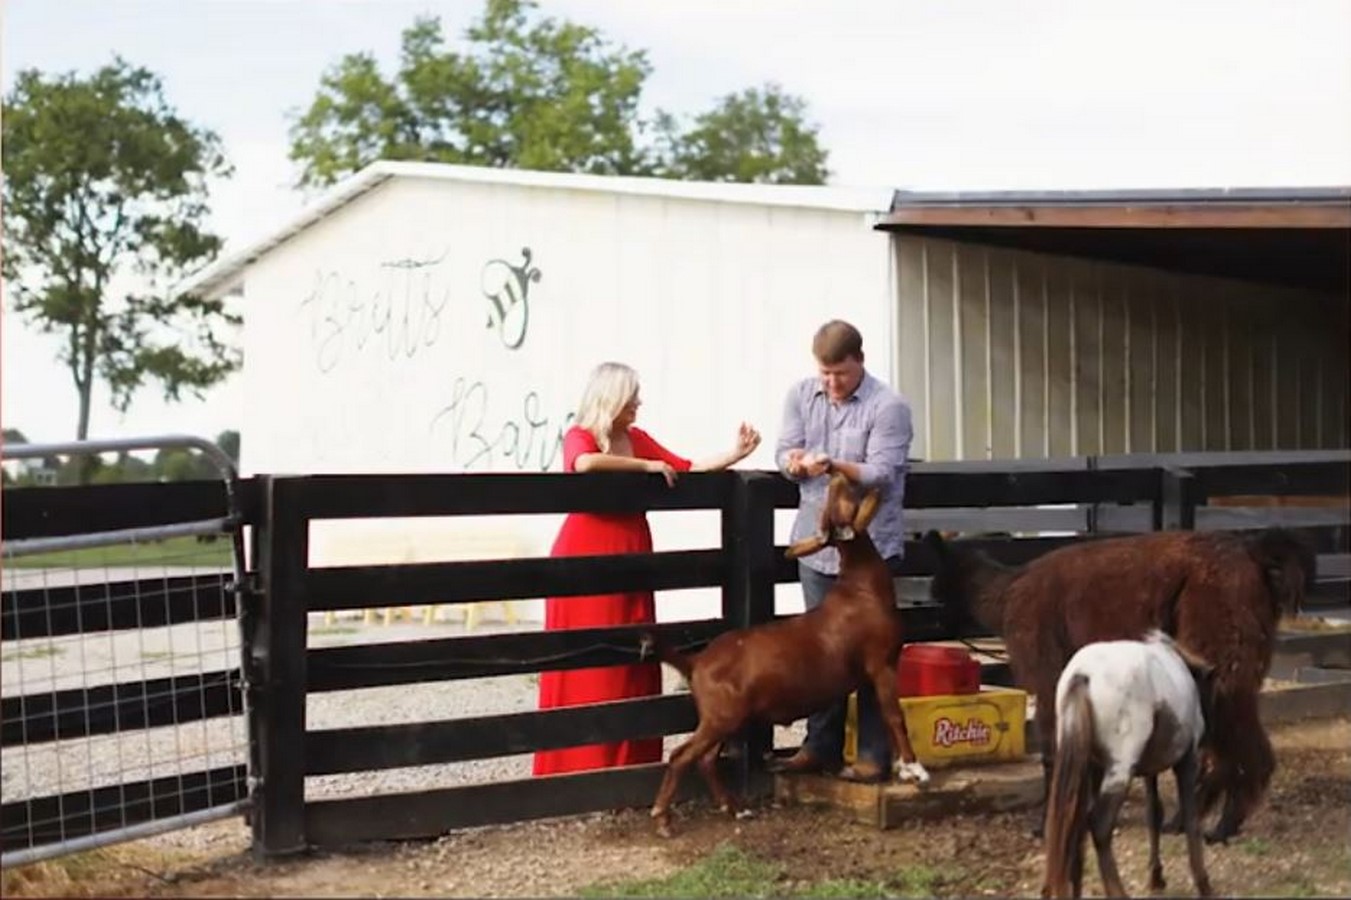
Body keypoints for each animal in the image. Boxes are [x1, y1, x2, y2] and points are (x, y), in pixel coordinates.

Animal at [643, 470, 929, 832]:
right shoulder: (882, 663)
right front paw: (915, 769)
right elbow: (894, 716)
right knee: (682, 756)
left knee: (706, 759)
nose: (836, 474)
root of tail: (695, 661)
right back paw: (663, 817)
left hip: (723, 717)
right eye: (840, 502)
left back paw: (734, 808)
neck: (861, 589)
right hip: (721, 716)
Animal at [924, 527, 1313, 843]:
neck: (1005, 594)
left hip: (1219, 636)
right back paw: (1187, 822)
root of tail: (1254, 554)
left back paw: (1222, 827)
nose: (931, 624)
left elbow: (1054, 752)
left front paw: (1046, 826)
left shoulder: (1048, 673)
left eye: (932, 591)